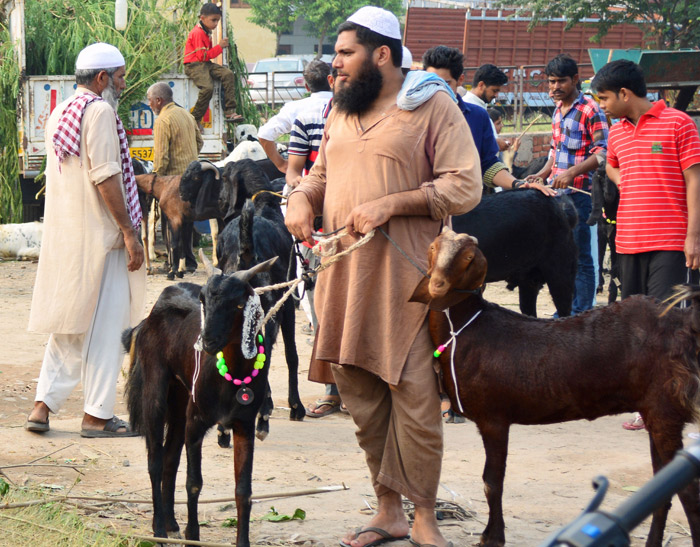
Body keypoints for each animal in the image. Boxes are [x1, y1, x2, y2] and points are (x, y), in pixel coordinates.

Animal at [124, 251, 277, 547]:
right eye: (204, 298)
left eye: (238, 303)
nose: (207, 341)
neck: (233, 376)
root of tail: (150, 316)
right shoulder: (196, 421)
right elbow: (194, 482)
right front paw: (192, 536)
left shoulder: (244, 424)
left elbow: (244, 489)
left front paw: (242, 541)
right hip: (156, 390)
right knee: (155, 460)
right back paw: (159, 530)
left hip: (180, 399)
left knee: (170, 457)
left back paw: (171, 523)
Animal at [216, 162, 305, 441]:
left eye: (223, 178)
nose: (219, 201)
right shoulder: (287, 304)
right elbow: (291, 354)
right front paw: (295, 406)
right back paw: (262, 415)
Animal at [410, 227, 700, 547]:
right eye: (433, 248)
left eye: (468, 258)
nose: (437, 285)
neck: (466, 329)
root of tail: (682, 321)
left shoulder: (494, 418)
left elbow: (492, 481)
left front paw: (492, 537)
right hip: (655, 410)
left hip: (664, 408)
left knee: (689, 491)